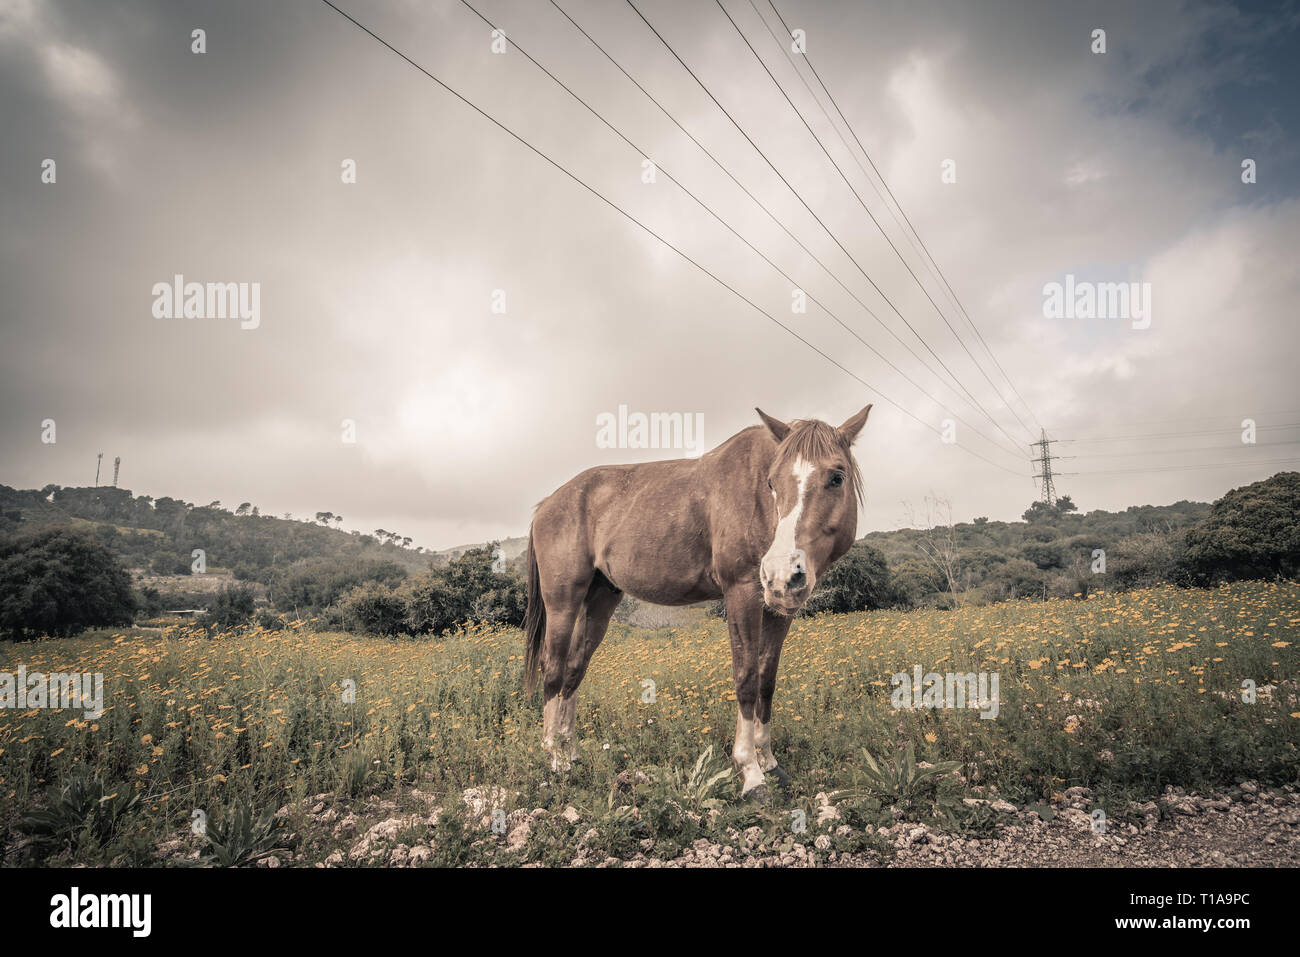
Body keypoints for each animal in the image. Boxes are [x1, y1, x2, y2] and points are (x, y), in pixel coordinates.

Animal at [522, 405, 871, 800]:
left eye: (837, 477)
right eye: (771, 482)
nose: (782, 572)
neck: (755, 500)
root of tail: (547, 505)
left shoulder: (779, 609)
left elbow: (767, 679)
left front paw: (770, 763)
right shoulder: (742, 592)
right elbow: (747, 677)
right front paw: (750, 772)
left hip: (601, 600)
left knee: (574, 669)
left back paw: (571, 753)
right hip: (563, 601)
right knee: (554, 669)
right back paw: (555, 757)